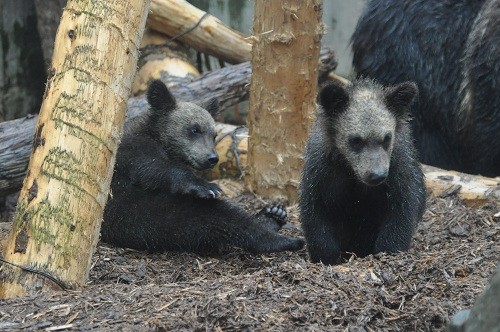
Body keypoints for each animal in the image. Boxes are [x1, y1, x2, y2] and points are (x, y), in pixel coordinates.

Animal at [100, 80, 304, 254]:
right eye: (195, 129)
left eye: (214, 135)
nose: (212, 158)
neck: (157, 136)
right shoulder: (131, 149)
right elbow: (152, 166)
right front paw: (206, 186)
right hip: (137, 213)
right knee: (213, 217)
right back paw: (283, 238)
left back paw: (273, 215)